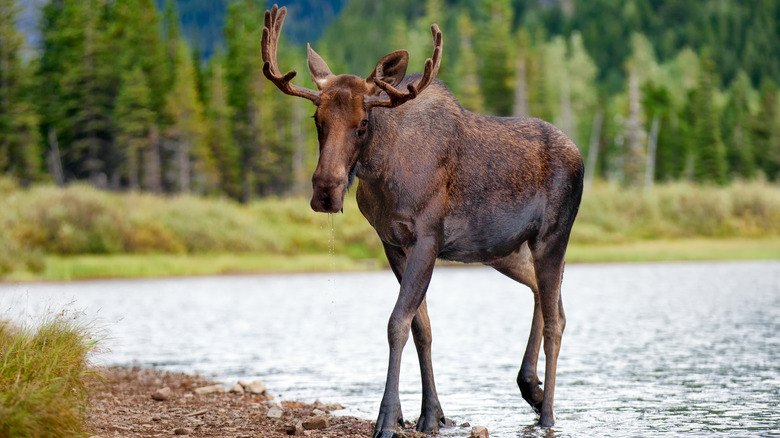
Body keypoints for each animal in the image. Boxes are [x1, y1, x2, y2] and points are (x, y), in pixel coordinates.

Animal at [264, 5, 584, 436]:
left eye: (363, 123)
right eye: (317, 119)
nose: (326, 191)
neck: (382, 174)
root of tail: (580, 155)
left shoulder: (427, 239)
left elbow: (397, 322)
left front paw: (387, 417)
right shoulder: (391, 243)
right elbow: (422, 327)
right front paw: (430, 414)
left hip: (553, 236)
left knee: (555, 322)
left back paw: (547, 413)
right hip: (506, 251)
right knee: (546, 297)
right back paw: (529, 387)